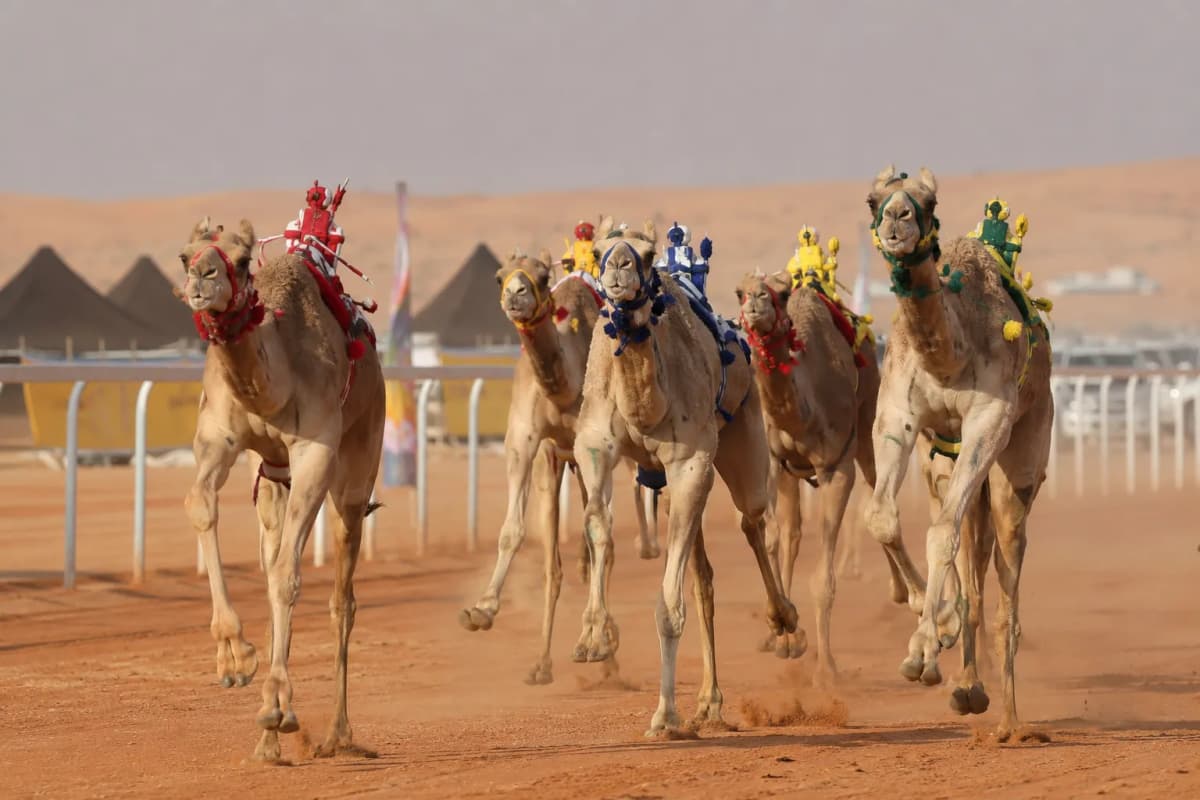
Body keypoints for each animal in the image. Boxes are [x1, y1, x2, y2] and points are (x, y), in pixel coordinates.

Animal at [180, 217, 384, 761]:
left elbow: (289, 577)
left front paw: (274, 700)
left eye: (242, 258)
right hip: (272, 480)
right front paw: (234, 658)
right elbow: (200, 504)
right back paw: (268, 740)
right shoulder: (220, 439)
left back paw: (336, 732)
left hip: (359, 461)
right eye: (185, 255)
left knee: (342, 599)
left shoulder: (314, 454)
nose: (202, 279)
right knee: (273, 555)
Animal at [458, 248, 661, 686]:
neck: (563, 388)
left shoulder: (599, 446)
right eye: (499, 275)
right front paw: (482, 611)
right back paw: (564, 659)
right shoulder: (530, 443)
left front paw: (597, 638)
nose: (515, 296)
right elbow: (518, 536)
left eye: (540, 275)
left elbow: (603, 537)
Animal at [573, 217, 797, 736]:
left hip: (744, 433)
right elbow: (598, 526)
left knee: (752, 519)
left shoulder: (691, 462)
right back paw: (709, 703)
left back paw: (784, 618)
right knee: (704, 576)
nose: (619, 267)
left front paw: (664, 715)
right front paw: (594, 637)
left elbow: (667, 605)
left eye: (645, 252)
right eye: (599, 250)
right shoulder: (592, 444)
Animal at [735, 262, 921, 686]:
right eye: (740, 291)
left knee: (877, 487)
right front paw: (785, 634)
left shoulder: (837, 468)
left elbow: (823, 579)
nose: (755, 303)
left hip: (870, 418)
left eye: (780, 293)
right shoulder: (776, 463)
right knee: (795, 532)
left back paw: (905, 593)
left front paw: (826, 669)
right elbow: (779, 538)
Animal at [863, 166, 1053, 741]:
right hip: (941, 463)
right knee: (972, 557)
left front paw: (926, 643)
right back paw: (968, 688)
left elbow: (941, 533)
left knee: (1006, 567)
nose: (897, 220)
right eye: (874, 200)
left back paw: (1011, 722)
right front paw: (934, 623)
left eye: (927, 202)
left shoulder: (989, 420)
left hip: (1025, 450)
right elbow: (881, 516)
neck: (951, 354)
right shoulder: (896, 417)